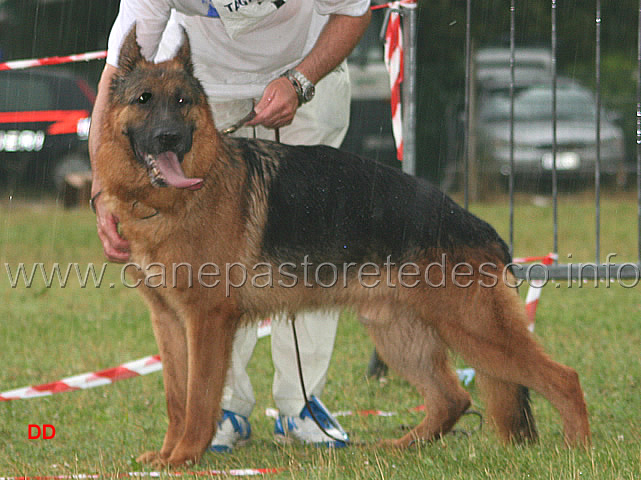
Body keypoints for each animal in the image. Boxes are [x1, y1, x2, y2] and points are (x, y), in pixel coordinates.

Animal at [95, 28, 592, 466]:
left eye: (182, 102)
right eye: (144, 100)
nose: (170, 138)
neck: (172, 200)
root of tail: (479, 225)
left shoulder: (207, 322)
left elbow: (199, 400)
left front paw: (184, 457)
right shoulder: (169, 322)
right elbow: (177, 399)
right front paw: (167, 454)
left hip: (473, 329)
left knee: (564, 378)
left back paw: (578, 449)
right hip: (399, 334)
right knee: (453, 398)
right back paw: (398, 448)